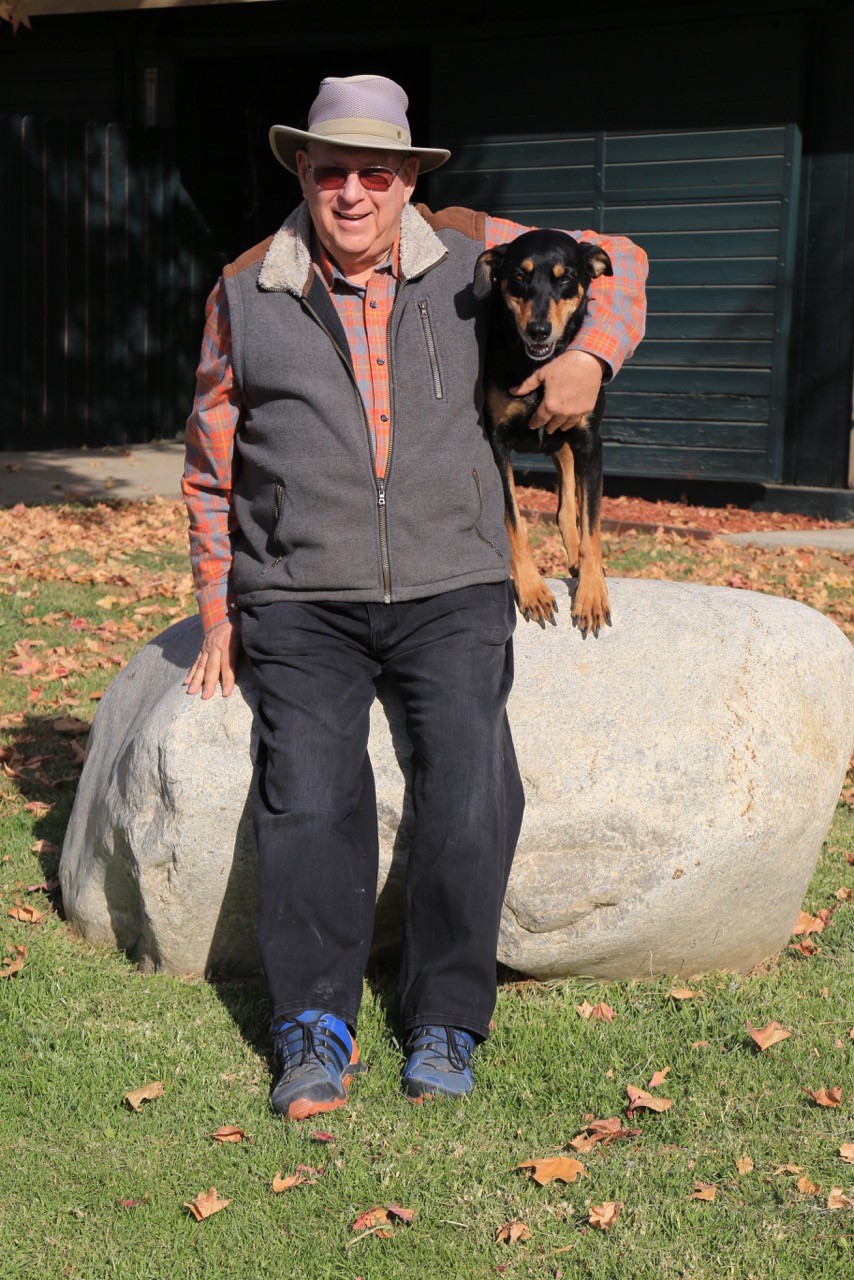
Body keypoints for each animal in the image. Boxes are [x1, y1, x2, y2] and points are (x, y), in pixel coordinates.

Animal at [475, 228, 613, 637]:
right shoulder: (495, 442)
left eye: (565, 278)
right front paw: (532, 589)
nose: (538, 330)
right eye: (519, 276)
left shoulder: (590, 442)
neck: (538, 365)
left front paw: (592, 594)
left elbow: (591, 523)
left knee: (569, 503)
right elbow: (513, 519)